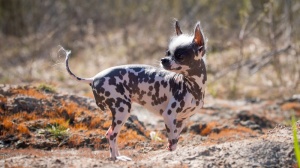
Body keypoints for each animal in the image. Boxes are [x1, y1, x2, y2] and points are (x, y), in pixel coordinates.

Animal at [63, 20, 206, 161]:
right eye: (167, 53)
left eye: (180, 56)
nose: (163, 60)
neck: (191, 87)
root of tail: (93, 78)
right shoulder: (169, 115)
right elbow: (172, 141)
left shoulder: (181, 120)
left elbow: (176, 139)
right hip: (122, 109)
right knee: (111, 134)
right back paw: (116, 158)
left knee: (112, 134)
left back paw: (118, 155)